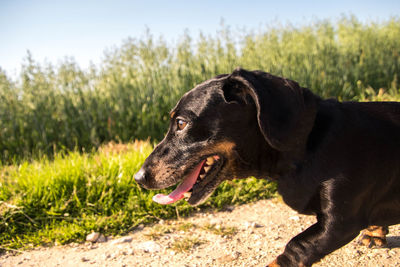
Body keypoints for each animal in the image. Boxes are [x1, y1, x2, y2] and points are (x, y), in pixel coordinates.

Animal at [135, 68, 400, 266]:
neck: (308, 143)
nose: (138, 178)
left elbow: (296, 246)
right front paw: (375, 231)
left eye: (181, 123)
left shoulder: (339, 221)